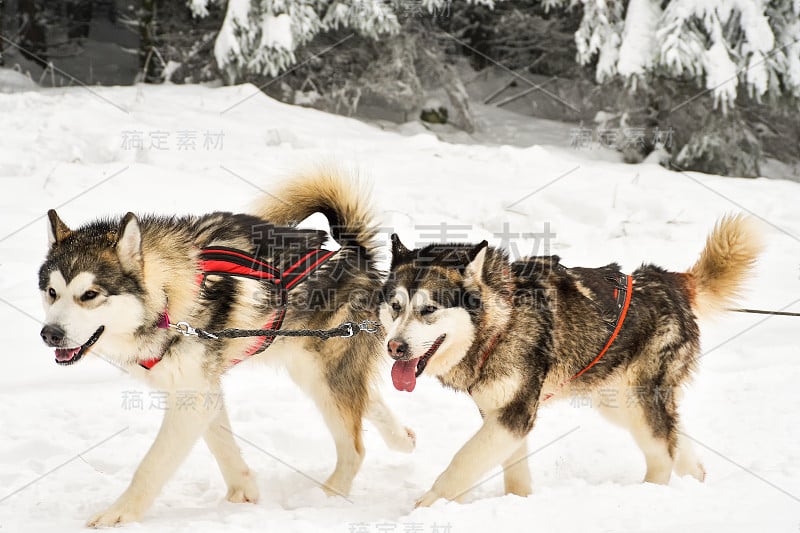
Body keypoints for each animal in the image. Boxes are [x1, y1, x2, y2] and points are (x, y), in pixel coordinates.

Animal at [39, 169, 412, 524]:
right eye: (52, 292)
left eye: (89, 295)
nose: (50, 334)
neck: (168, 297)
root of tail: (355, 254)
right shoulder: (199, 387)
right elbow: (222, 444)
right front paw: (243, 491)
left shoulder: (192, 395)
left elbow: (151, 466)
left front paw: (119, 514)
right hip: (310, 366)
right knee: (367, 399)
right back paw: (402, 438)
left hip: (321, 374)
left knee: (355, 447)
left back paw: (326, 497)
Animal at [382, 214, 764, 504]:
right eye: (396, 306)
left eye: (429, 310)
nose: (394, 348)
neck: (502, 320)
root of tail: (667, 280)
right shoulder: (500, 413)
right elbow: (511, 470)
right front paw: (518, 502)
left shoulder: (513, 415)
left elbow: (462, 463)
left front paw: (426, 506)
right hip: (618, 403)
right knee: (675, 437)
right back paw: (695, 477)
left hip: (637, 401)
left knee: (662, 454)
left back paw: (650, 495)